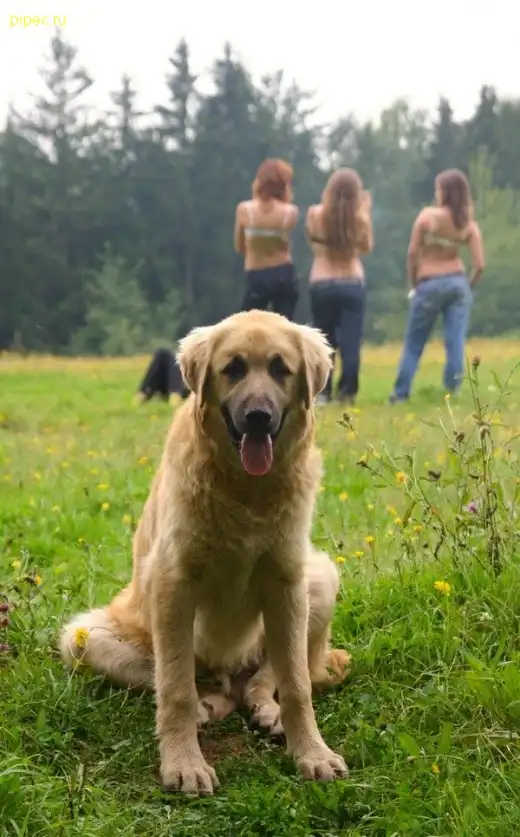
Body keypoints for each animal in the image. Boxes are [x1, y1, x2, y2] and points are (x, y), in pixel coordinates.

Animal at [60, 310, 351, 795]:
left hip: (320, 578)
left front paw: (311, 752)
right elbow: (175, 687)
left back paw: (265, 710)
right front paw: (184, 763)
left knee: (263, 680)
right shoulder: (174, 582)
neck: (247, 491)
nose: (258, 418)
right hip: (82, 637)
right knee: (185, 684)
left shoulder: (286, 580)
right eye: (233, 368)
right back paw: (206, 707)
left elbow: (296, 684)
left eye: (281, 369)